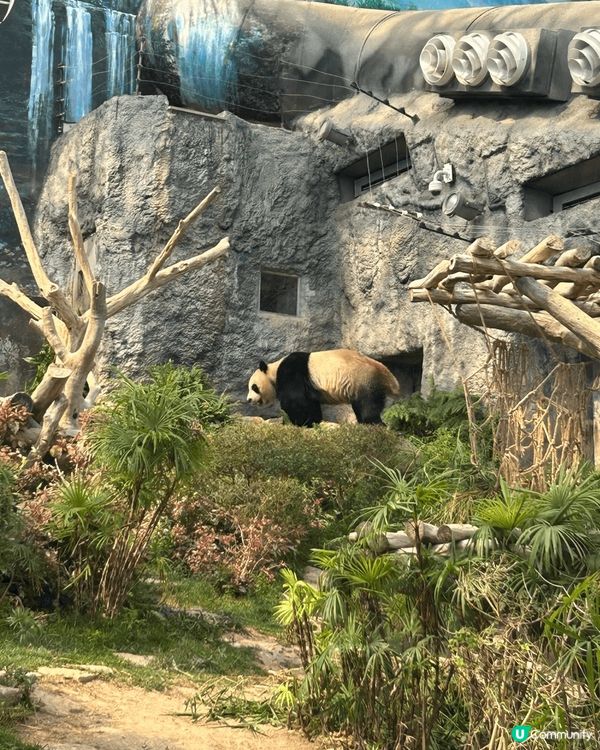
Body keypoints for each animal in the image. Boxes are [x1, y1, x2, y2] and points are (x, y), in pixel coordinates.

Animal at [247, 349, 400, 427]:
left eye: (254, 387)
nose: (249, 400)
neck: (274, 370)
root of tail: (387, 375)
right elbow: (310, 403)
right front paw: (314, 421)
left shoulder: (291, 371)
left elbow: (294, 401)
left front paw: (300, 423)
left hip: (364, 379)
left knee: (368, 406)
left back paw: (374, 424)